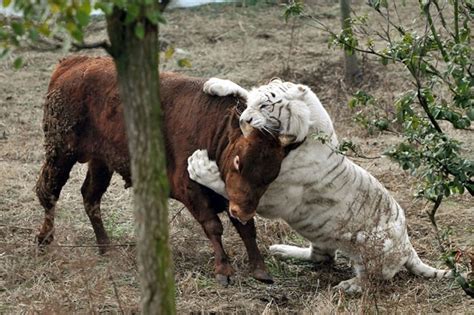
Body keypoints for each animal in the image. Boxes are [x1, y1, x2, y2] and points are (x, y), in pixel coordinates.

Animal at [186, 77, 452, 294]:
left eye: (265, 106)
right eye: (252, 103)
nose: (243, 119)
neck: (306, 131)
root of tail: (407, 246)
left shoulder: (276, 195)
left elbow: (232, 188)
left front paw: (200, 167)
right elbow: (241, 87)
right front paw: (216, 84)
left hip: (373, 250)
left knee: (373, 278)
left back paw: (350, 286)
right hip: (321, 237)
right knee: (320, 258)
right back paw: (282, 249)